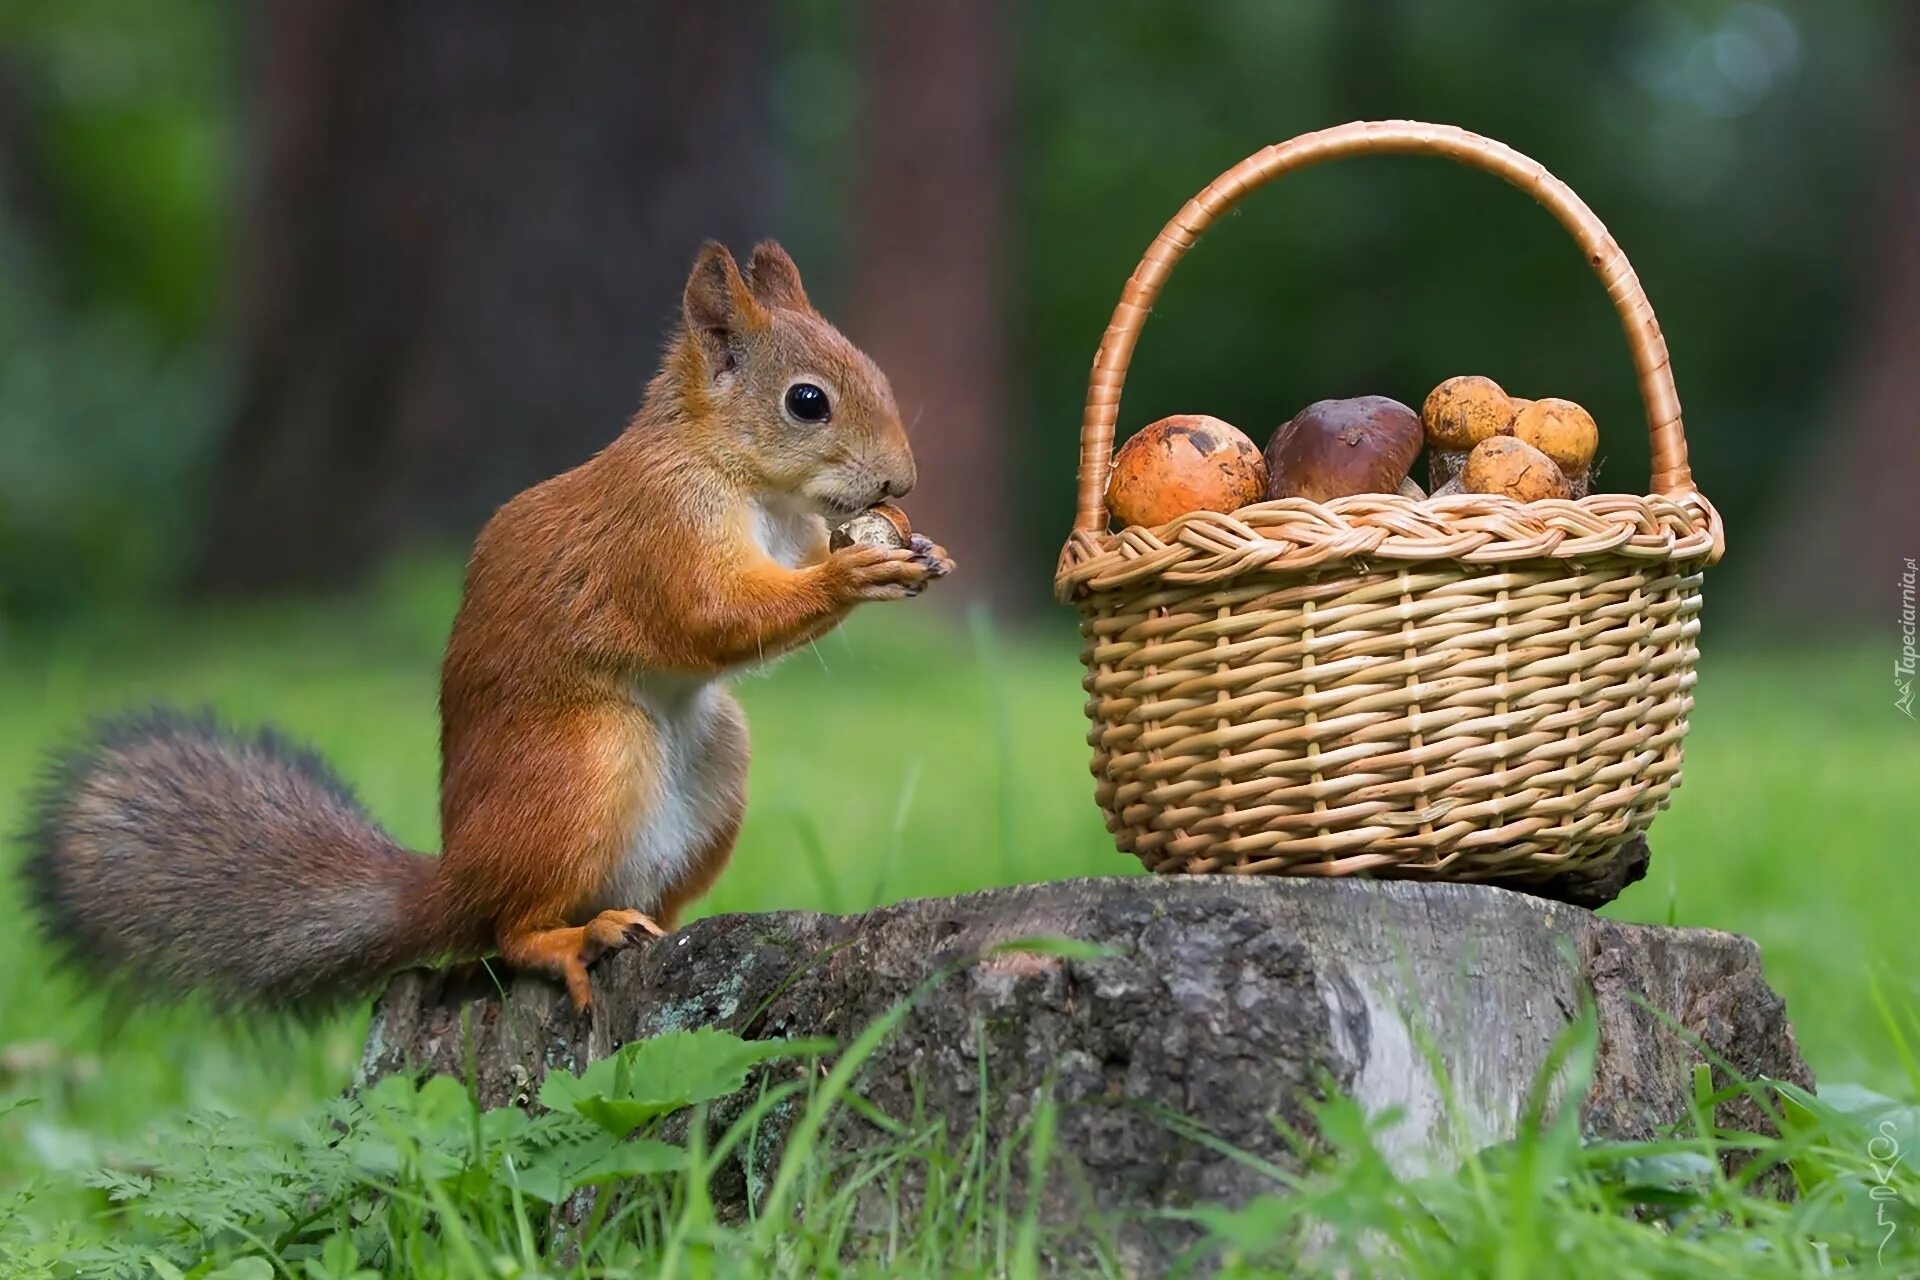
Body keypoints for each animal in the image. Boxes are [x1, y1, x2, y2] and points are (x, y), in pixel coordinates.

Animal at [22, 245, 952, 1013]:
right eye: (807, 402)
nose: (901, 480)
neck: (744, 478)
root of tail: (454, 881)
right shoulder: (657, 530)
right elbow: (714, 616)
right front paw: (852, 574)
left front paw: (918, 545)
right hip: (582, 764)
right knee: (509, 930)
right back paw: (573, 938)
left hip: (714, 761)